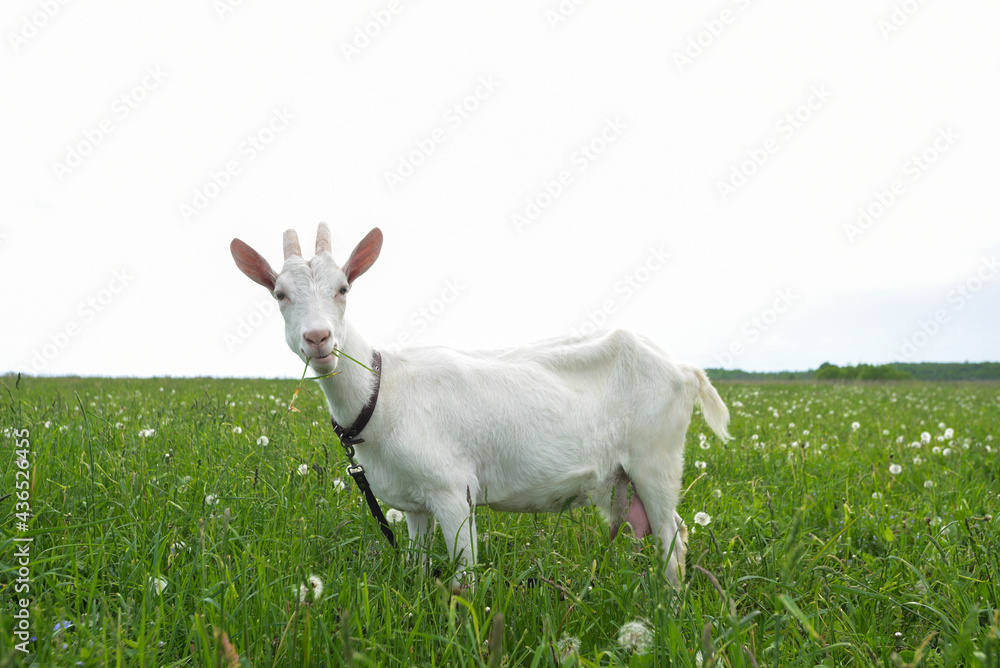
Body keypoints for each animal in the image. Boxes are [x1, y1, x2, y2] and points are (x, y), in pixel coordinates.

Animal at [230, 224, 731, 590]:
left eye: (344, 287)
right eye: (279, 294)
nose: (319, 339)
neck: (381, 392)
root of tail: (685, 369)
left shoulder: (453, 491)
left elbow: (466, 578)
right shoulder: (415, 504)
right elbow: (415, 564)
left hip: (656, 458)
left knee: (672, 538)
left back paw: (671, 609)